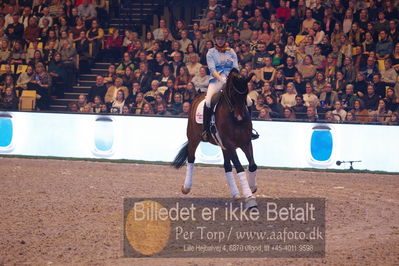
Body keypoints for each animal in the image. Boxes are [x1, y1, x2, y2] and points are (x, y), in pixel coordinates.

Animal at [173, 68, 260, 208]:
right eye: (232, 93)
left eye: (246, 93)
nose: (240, 117)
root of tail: (198, 95)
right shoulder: (229, 144)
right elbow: (239, 168)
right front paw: (249, 198)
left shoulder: (245, 142)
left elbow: (252, 165)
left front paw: (252, 187)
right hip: (193, 138)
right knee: (191, 158)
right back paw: (186, 187)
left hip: (223, 146)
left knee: (227, 166)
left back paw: (235, 194)